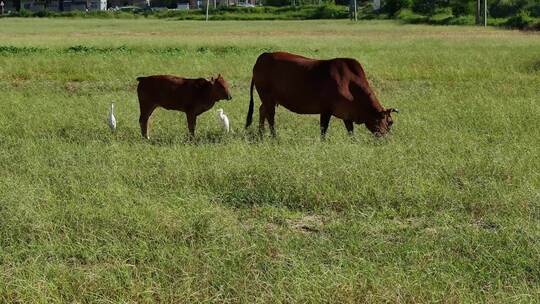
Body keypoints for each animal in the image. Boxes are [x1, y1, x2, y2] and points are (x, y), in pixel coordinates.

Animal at [245, 52, 396, 138]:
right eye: (390, 122)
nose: (388, 139)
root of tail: (260, 59)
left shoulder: (347, 114)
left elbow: (351, 132)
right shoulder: (326, 110)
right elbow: (323, 130)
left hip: (268, 99)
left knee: (262, 110)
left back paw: (261, 134)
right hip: (267, 96)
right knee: (270, 116)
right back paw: (274, 136)